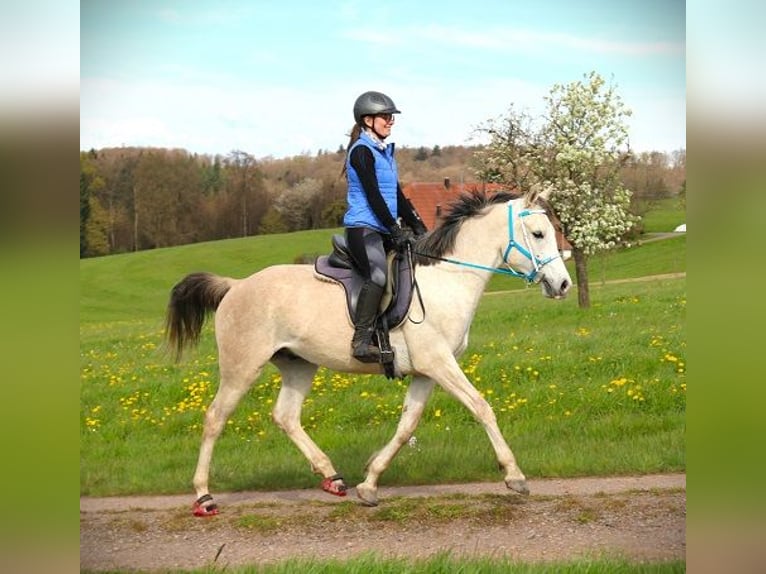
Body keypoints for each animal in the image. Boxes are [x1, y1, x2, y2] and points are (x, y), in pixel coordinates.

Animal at [165, 187, 572, 516]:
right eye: (539, 233)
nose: (563, 285)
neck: (447, 280)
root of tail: (235, 286)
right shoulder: (439, 364)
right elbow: (481, 407)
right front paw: (514, 475)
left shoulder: (426, 372)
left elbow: (407, 426)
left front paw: (370, 481)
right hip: (242, 367)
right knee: (215, 418)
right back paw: (203, 497)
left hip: (299, 365)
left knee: (286, 416)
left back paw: (332, 477)